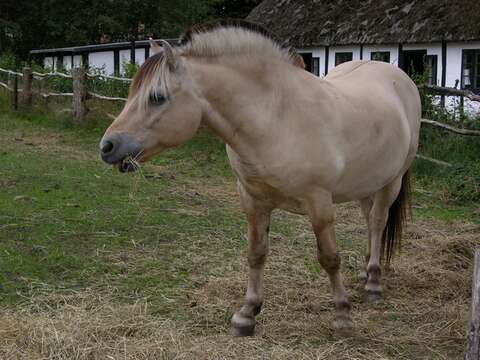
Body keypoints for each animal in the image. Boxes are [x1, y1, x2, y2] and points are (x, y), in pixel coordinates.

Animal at [98, 19, 420, 334]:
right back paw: (365, 273)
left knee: (377, 222)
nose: (107, 146)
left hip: (392, 180)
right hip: (368, 182)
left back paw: (374, 283)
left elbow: (329, 258)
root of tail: (395, 74)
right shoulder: (253, 201)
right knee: (369, 221)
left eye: (157, 97)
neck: (277, 118)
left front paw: (342, 316)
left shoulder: (319, 203)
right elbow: (256, 253)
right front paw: (246, 314)